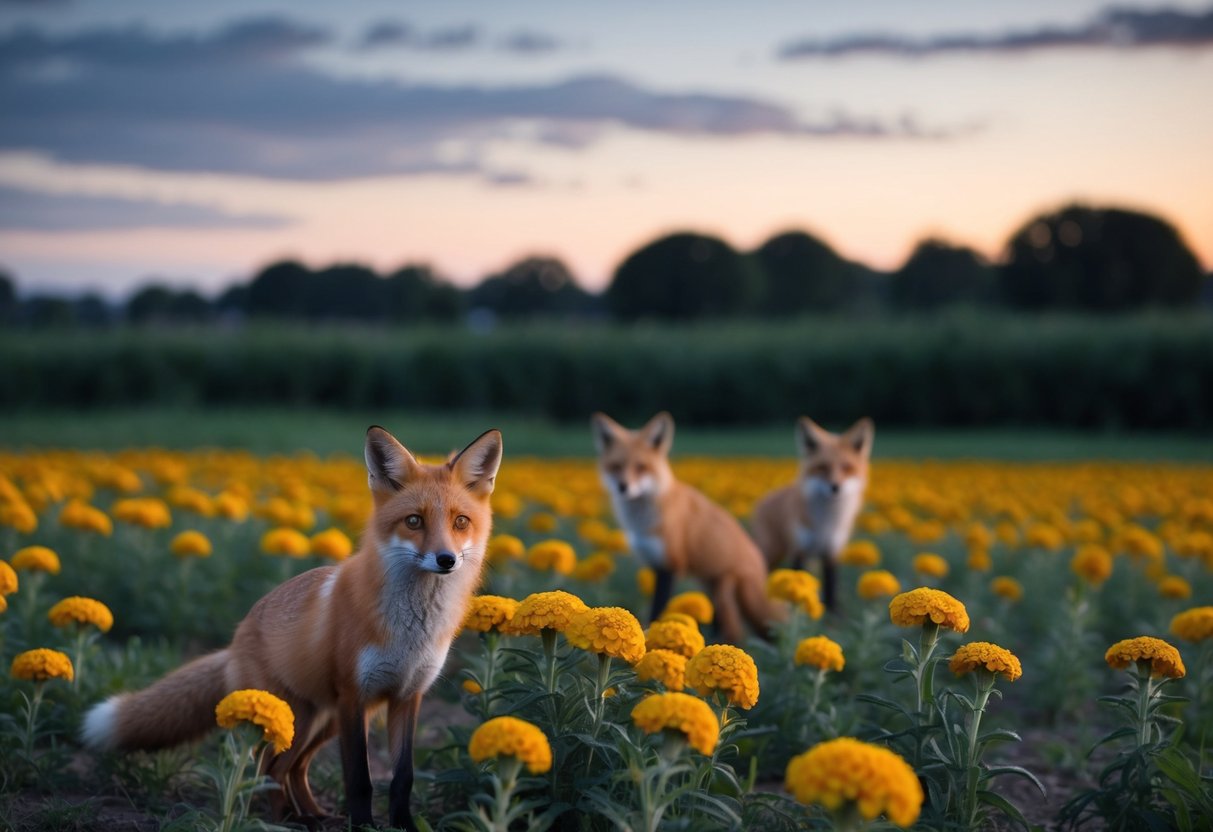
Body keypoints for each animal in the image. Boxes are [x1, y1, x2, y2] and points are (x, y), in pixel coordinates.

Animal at [82, 426, 503, 832]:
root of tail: (236, 639)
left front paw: (402, 826)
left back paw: (311, 814)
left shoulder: (407, 697)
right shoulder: (354, 697)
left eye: (460, 521)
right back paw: (288, 819)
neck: (412, 631)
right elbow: (360, 779)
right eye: (414, 521)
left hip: (320, 722)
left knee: (292, 769)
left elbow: (403, 778)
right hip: (297, 719)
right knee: (270, 768)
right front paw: (363, 826)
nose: (446, 559)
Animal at [591, 411, 778, 643]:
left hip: (737, 595)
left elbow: (658, 608)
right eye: (616, 466)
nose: (623, 487)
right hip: (711, 588)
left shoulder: (671, 564)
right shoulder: (654, 562)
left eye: (641, 467)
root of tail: (761, 562)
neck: (643, 521)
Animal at [750, 417, 874, 611]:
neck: (825, 522)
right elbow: (795, 578)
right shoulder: (799, 550)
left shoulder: (831, 551)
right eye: (822, 467)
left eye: (847, 467)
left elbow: (831, 589)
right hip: (770, 550)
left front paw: (832, 615)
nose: (835, 487)